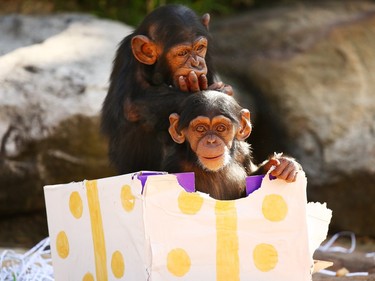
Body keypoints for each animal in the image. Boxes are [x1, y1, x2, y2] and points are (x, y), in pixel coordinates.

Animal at [101, 4, 231, 173]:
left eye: (200, 48)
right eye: (182, 53)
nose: (196, 64)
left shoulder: (207, 57)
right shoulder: (127, 58)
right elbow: (130, 105)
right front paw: (213, 94)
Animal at [164, 89, 302, 199]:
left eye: (221, 128)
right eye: (200, 128)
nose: (211, 141)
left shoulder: (243, 153)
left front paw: (286, 164)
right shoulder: (175, 164)